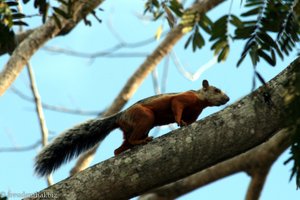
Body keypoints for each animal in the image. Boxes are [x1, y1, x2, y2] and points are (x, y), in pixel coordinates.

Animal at [34, 80, 229, 177]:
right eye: (216, 90)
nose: (227, 98)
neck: (200, 100)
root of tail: (119, 117)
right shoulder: (183, 98)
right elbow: (176, 106)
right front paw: (180, 121)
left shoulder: (195, 113)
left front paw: (186, 123)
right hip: (144, 117)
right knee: (133, 138)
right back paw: (142, 141)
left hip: (134, 128)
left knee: (120, 147)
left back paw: (124, 150)